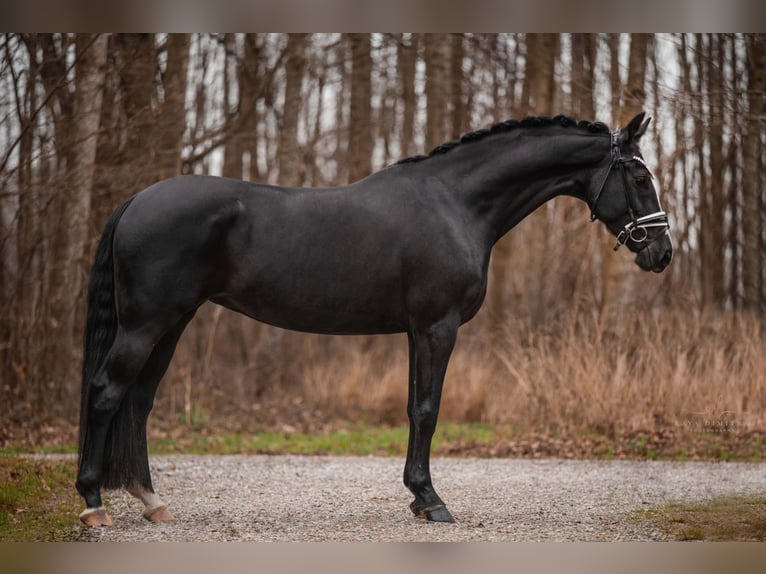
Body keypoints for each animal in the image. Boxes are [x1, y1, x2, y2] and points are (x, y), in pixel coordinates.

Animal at [76, 111, 672, 528]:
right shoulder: (437, 327)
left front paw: (417, 497)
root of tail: (137, 199)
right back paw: (93, 502)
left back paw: (152, 501)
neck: (455, 204)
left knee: (139, 401)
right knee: (106, 392)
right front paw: (431, 502)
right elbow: (428, 411)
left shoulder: (416, 331)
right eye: (639, 177)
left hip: (172, 323)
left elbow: (414, 409)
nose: (662, 253)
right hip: (146, 324)